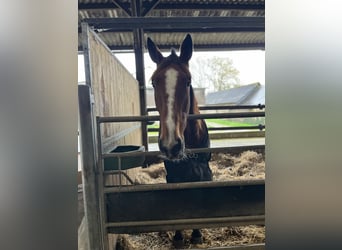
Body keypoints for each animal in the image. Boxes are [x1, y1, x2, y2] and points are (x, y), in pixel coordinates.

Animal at [146, 34, 212, 247]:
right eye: (153, 82)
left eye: (188, 80)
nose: (171, 145)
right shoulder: (173, 174)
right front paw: (178, 237)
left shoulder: (203, 172)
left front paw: (197, 234)